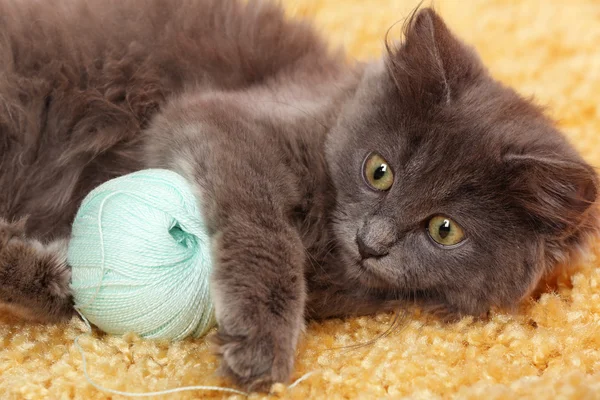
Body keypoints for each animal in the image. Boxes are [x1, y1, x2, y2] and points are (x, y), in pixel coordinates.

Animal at [0, 0, 596, 390]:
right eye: (379, 171)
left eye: (445, 229)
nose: (372, 241)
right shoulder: (216, 117)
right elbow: (266, 231)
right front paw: (262, 341)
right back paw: (51, 277)